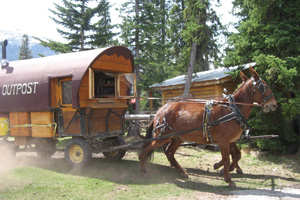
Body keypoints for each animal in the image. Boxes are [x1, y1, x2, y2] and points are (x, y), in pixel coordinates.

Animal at [139, 67, 278, 188]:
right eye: (264, 86)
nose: (274, 105)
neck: (232, 110)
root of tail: (160, 111)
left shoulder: (230, 141)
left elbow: (236, 156)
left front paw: (221, 168)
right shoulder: (224, 140)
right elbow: (227, 158)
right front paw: (228, 179)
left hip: (177, 137)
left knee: (169, 152)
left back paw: (181, 172)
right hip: (162, 137)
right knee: (146, 148)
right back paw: (144, 171)